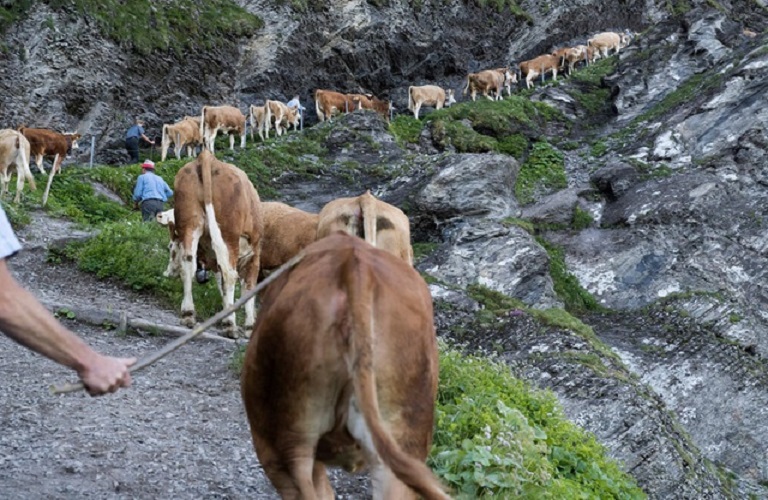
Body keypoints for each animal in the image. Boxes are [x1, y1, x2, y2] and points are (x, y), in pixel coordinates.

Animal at [164, 148, 262, 336]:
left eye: (170, 248)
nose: (167, 273)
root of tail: (207, 157)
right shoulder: (255, 257)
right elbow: (248, 289)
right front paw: (249, 326)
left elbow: (221, 285)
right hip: (228, 235)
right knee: (229, 273)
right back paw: (230, 325)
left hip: (190, 222)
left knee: (188, 263)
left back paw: (188, 313)